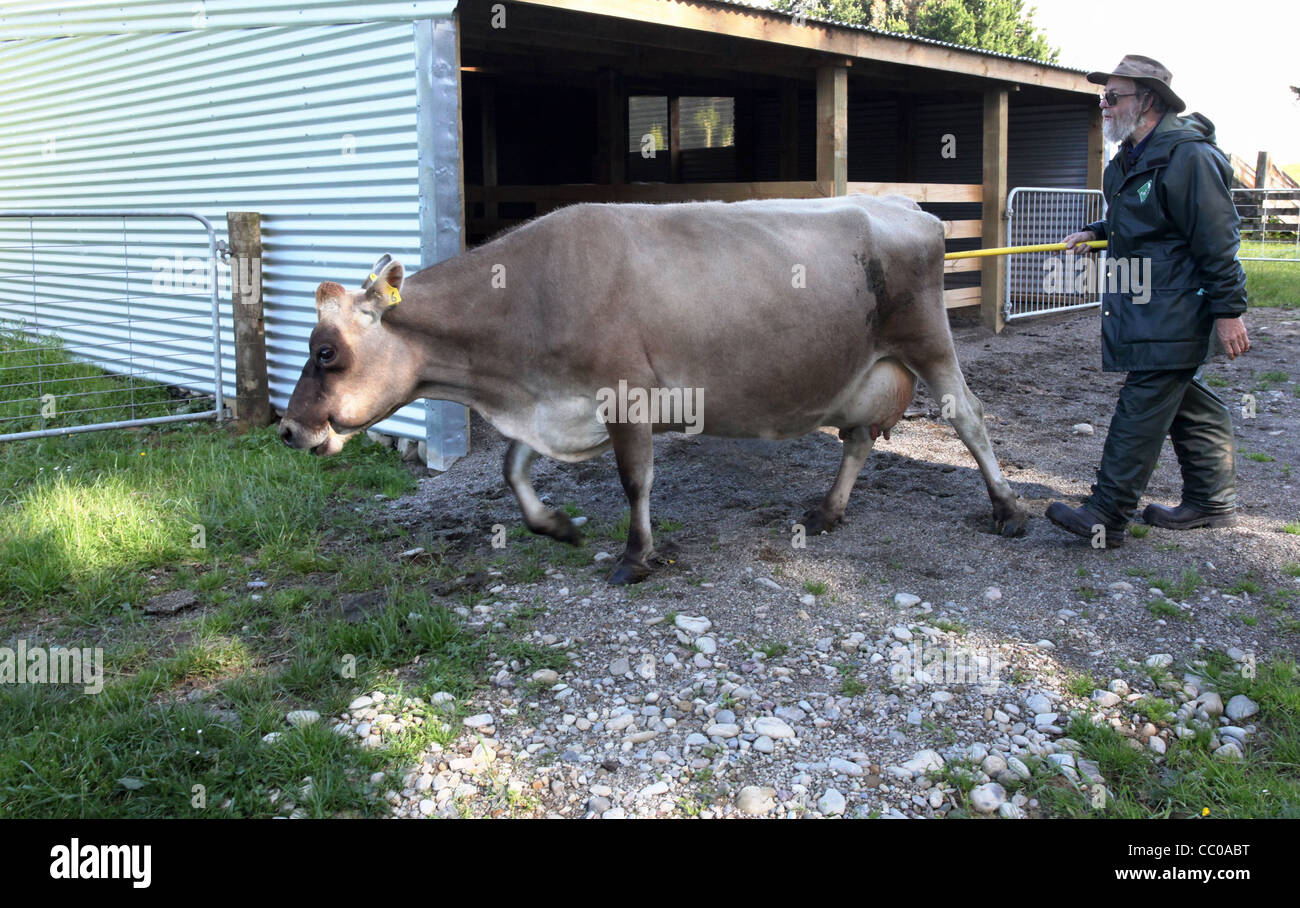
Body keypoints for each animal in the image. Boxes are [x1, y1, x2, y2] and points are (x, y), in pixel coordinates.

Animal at [279, 195, 1028, 583]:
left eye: (325, 351)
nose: (287, 430)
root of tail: (911, 208)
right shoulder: (553, 403)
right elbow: (510, 469)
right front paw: (555, 525)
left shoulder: (627, 394)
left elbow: (634, 479)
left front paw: (637, 557)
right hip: (861, 369)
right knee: (858, 438)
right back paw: (827, 511)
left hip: (929, 340)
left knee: (971, 419)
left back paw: (1008, 510)